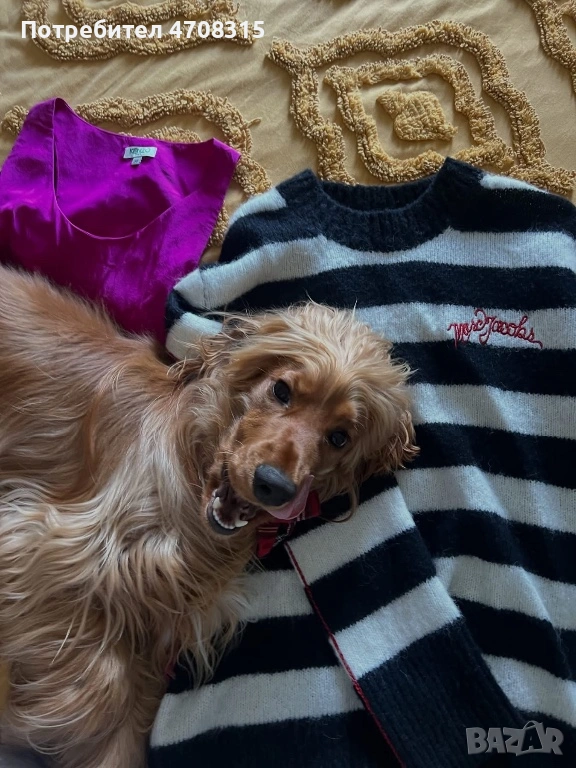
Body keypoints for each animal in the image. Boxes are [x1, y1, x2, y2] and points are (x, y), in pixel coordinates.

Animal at [0, 266, 417, 768]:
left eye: (340, 437)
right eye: (281, 390)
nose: (273, 485)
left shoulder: (162, 630)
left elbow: (127, 711)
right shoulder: (42, 543)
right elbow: (105, 684)